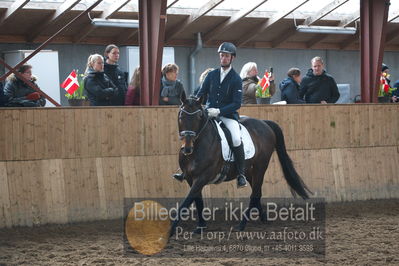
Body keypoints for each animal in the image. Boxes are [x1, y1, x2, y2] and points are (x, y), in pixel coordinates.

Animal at [171, 92, 312, 235]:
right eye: (181, 116)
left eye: (199, 116)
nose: (187, 148)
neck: (197, 147)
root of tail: (264, 123)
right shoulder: (190, 178)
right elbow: (197, 200)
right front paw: (201, 226)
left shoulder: (202, 177)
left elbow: (185, 203)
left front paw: (170, 230)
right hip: (248, 170)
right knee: (256, 192)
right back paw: (263, 218)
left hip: (260, 166)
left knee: (255, 193)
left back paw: (241, 225)